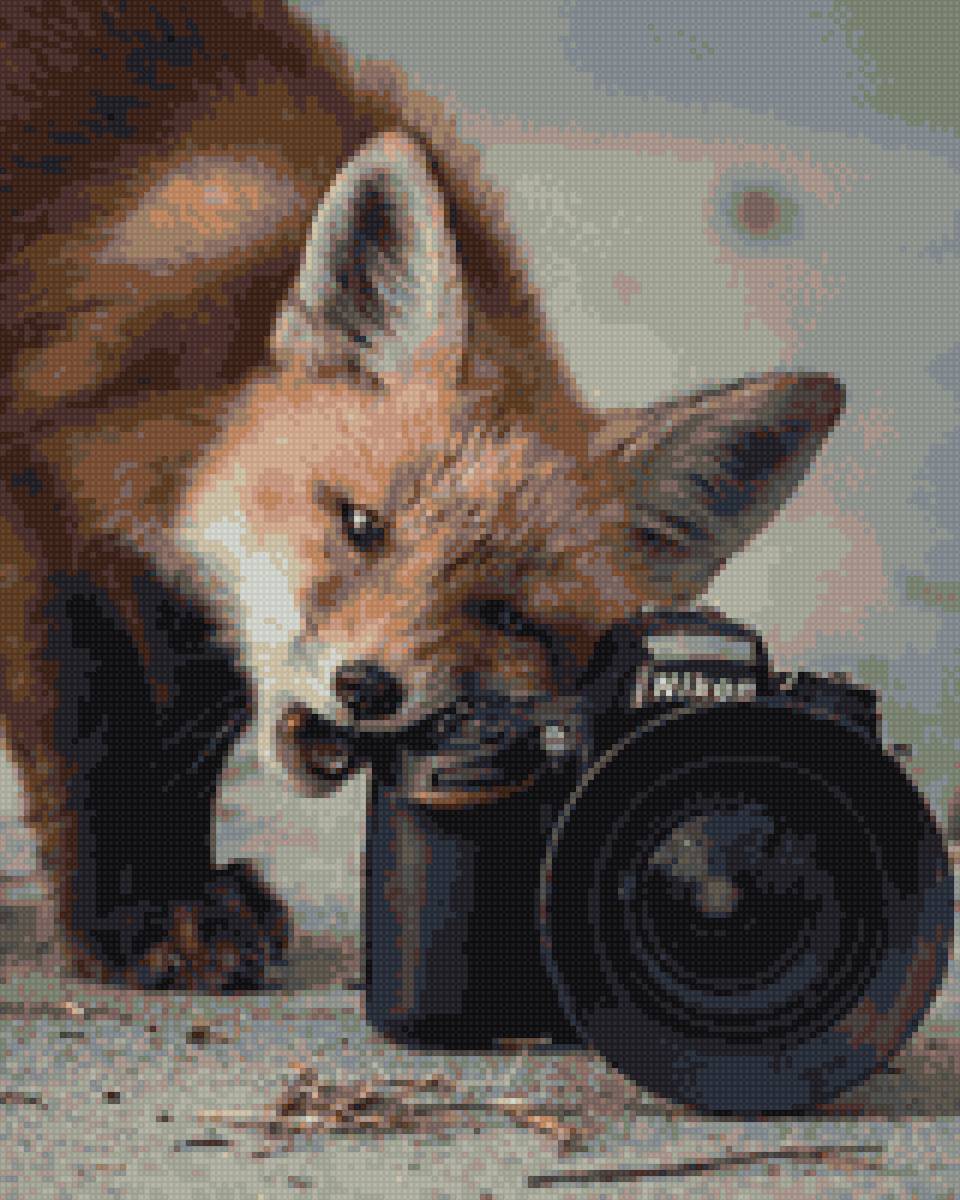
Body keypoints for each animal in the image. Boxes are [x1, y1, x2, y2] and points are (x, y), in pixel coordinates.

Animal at [0, 0, 844, 991]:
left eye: (509, 617)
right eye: (361, 525)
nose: (366, 688)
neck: (188, 386)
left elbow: (175, 730)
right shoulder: (44, 507)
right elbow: (105, 723)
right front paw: (137, 917)